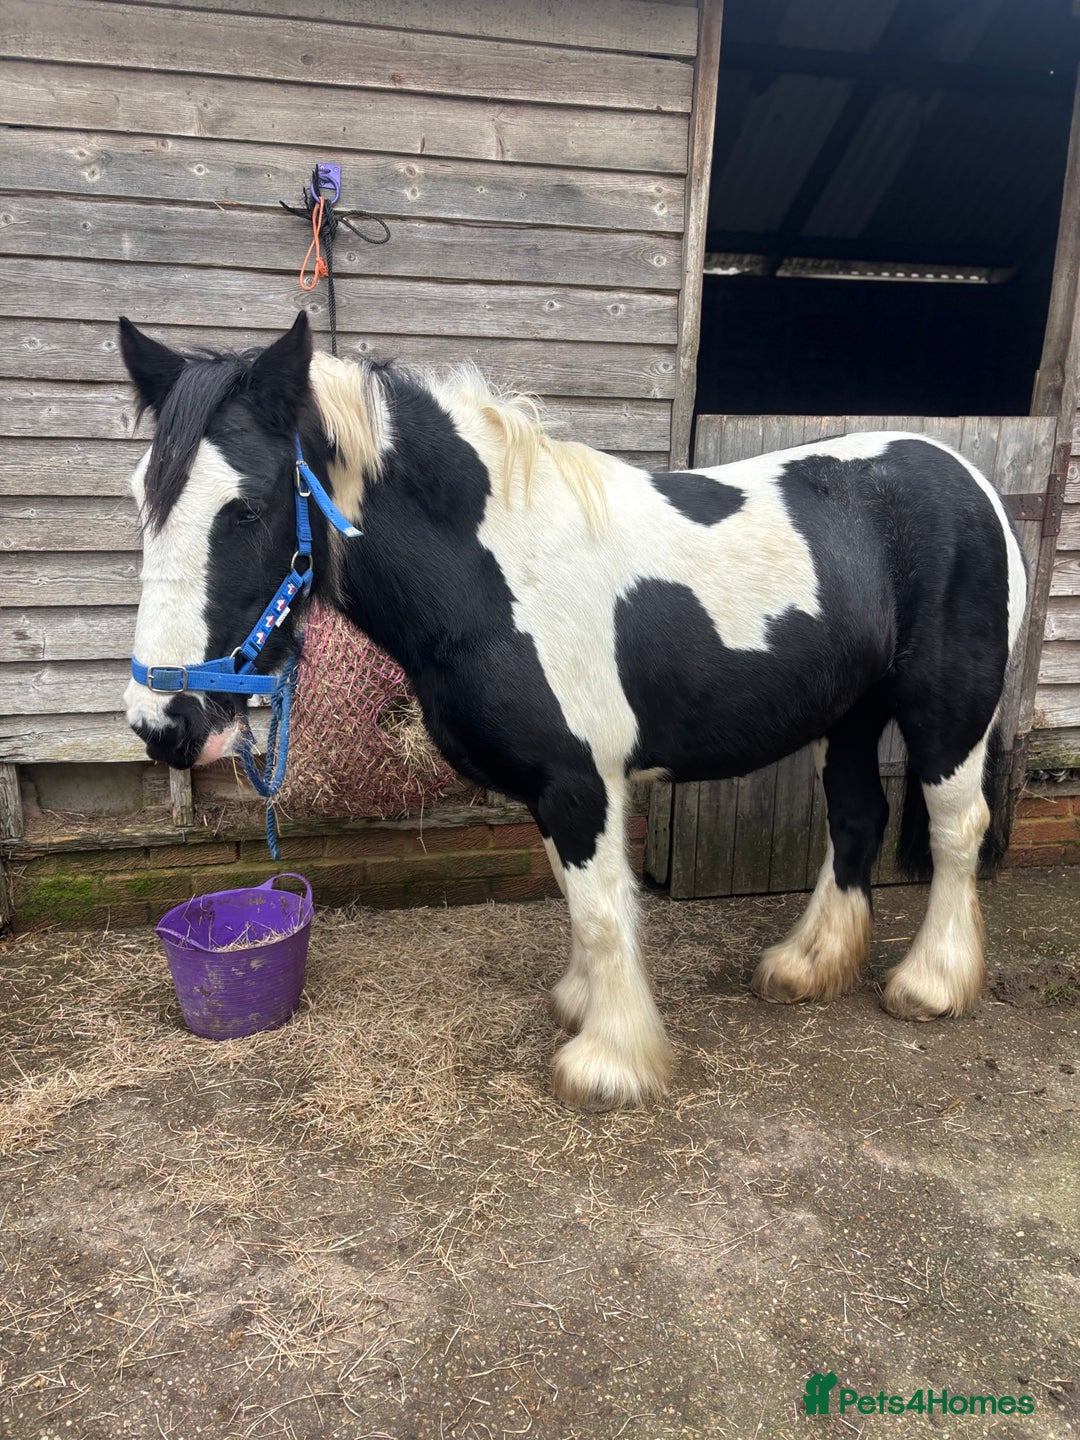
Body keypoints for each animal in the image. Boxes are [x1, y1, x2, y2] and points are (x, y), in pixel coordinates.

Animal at [119, 311, 1026, 1112]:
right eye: (143, 498)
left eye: (246, 506)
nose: (162, 722)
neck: (498, 574)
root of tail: (970, 479)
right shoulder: (550, 788)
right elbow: (574, 894)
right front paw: (584, 1009)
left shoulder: (582, 781)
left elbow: (598, 909)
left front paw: (610, 1064)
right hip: (849, 714)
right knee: (856, 818)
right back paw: (807, 967)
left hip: (947, 717)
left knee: (956, 832)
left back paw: (931, 984)